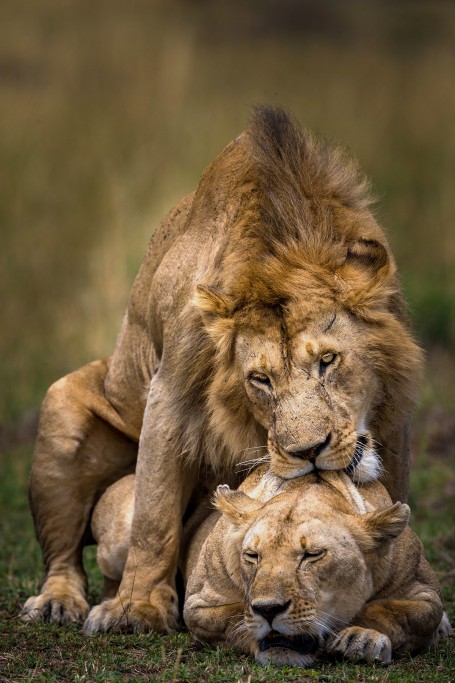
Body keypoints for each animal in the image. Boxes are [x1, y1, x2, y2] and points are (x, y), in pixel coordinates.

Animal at [22, 107, 424, 636]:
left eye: (328, 360)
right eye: (260, 380)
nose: (309, 453)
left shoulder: (392, 416)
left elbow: (388, 494)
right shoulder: (169, 391)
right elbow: (154, 514)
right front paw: (137, 609)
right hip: (61, 411)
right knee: (66, 557)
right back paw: (58, 602)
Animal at [92, 468, 446, 664]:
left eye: (312, 555)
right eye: (253, 556)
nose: (269, 610)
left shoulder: (423, 595)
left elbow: (392, 612)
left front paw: (360, 639)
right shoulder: (200, 605)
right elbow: (234, 617)